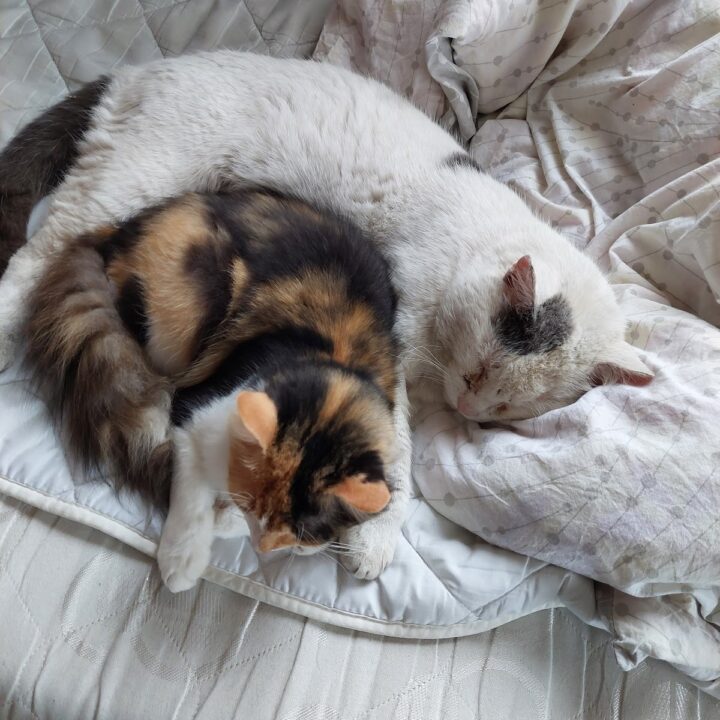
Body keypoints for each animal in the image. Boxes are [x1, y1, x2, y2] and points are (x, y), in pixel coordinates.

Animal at [26, 189, 400, 591]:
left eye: (299, 533)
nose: (264, 547)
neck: (330, 361)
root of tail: (118, 231)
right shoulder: (195, 407)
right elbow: (194, 489)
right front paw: (181, 563)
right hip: (191, 301)